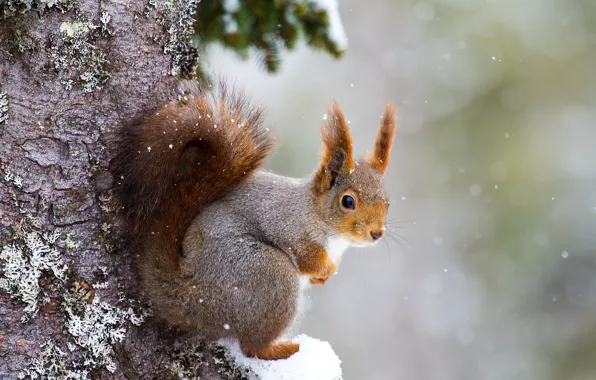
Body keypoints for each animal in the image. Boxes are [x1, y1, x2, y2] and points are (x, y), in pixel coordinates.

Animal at [113, 80, 396, 360]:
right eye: (348, 201)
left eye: (388, 202)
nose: (377, 233)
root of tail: (197, 296)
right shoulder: (289, 227)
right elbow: (307, 257)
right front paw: (324, 269)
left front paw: (324, 276)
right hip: (270, 274)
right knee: (252, 347)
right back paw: (284, 348)